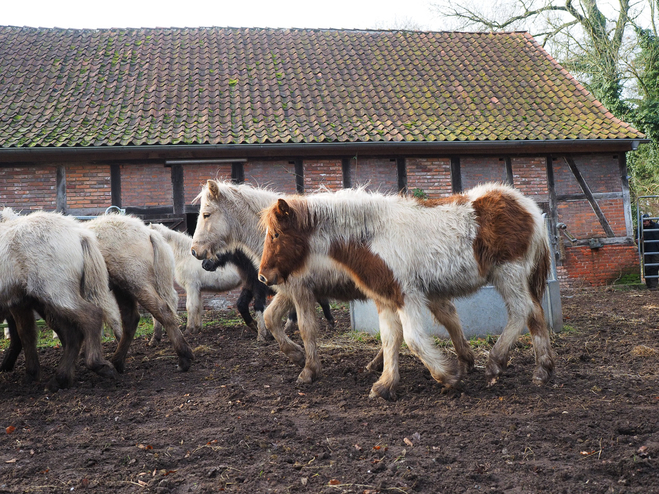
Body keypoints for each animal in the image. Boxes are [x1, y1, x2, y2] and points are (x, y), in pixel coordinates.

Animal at [0, 206, 120, 388]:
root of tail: (78, 232)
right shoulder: (21, 303)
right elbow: (26, 335)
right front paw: (31, 374)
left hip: (57, 294)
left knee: (90, 317)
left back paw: (95, 365)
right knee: (72, 333)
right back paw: (61, 378)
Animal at [85, 214, 195, 372]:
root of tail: (148, 233)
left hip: (136, 284)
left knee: (162, 310)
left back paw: (183, 358)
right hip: (123, 288)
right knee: (131, 319)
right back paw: (118, 362)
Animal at [191, 179, 474, 388]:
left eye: (206, 214)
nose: (195, 252)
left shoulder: (301, 291)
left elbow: (306, 328)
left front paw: (308, 369)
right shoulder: (288, 290)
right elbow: (271, 318)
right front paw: (296, 355)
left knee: (438, 318)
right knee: (442, 316)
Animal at [260, 183, 556, 400]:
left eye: (275, 235)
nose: (264, 275)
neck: (372, 237)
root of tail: (527, 205)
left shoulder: (406, 295)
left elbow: (413, 340)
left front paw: (449, 377)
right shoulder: (385, 298)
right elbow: (390, 339)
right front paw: (385, 385)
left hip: (509, 273)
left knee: (521, 311)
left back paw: (495, 362)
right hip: (517, 276)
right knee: (536, 314)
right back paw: (542, 371)